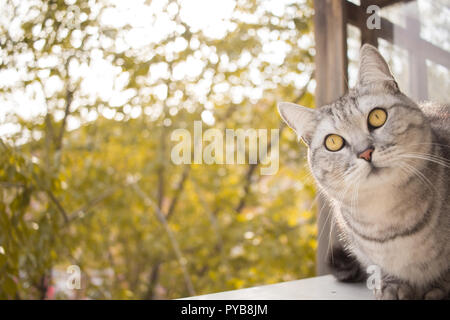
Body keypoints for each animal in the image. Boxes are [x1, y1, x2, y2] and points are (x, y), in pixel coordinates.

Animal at [278, 43, 450, 298]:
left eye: (377, 117)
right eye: (333, 142)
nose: (365, 152)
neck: (390, 219)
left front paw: (438, 289)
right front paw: (392, 287)